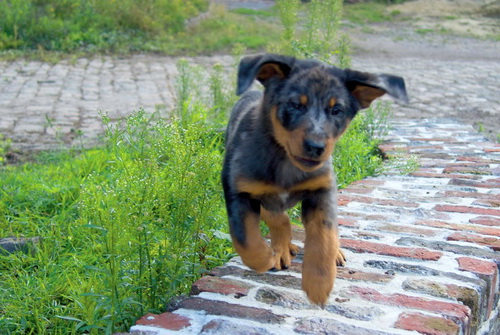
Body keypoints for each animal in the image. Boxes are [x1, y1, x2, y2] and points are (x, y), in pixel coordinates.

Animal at [222, 53, 406, 308]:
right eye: (295, 105)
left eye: (336, 110)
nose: (316, 147)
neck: (286, 162)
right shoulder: (238, 190)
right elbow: (246, 240)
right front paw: (266, 257)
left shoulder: (322, 191)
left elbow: (323, 237)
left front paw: (319, 284)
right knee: (276, 219)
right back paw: (280, 249)